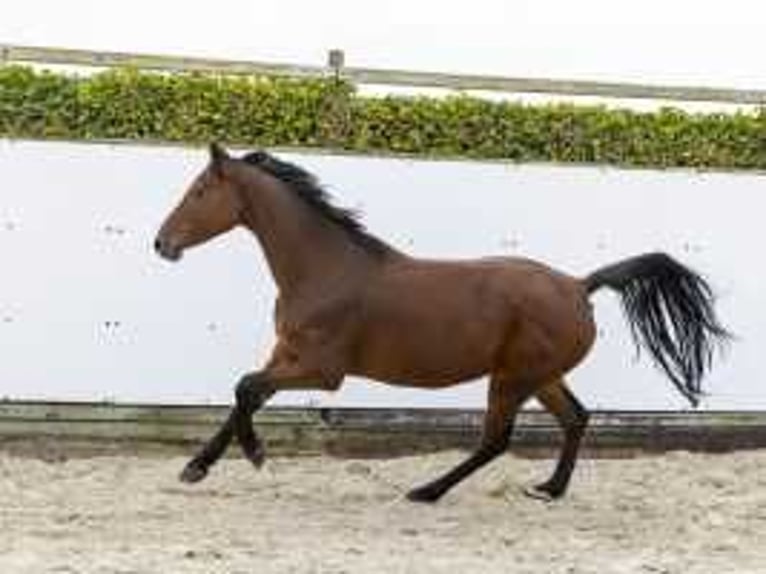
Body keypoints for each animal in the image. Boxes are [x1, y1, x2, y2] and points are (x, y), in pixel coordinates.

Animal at [152, 145, 732, 504]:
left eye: (200, 190)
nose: (162, 243)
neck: (326, 268)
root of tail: (578, 285)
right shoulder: (287, 355)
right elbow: (245, 393)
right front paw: (197, 467)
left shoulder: (322, 370)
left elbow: (245, 388)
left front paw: (254, 454)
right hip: (540, 376)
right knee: (576, 419)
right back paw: (549, 489)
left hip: (513, 378)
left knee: (496, 440)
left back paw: (427, 491)